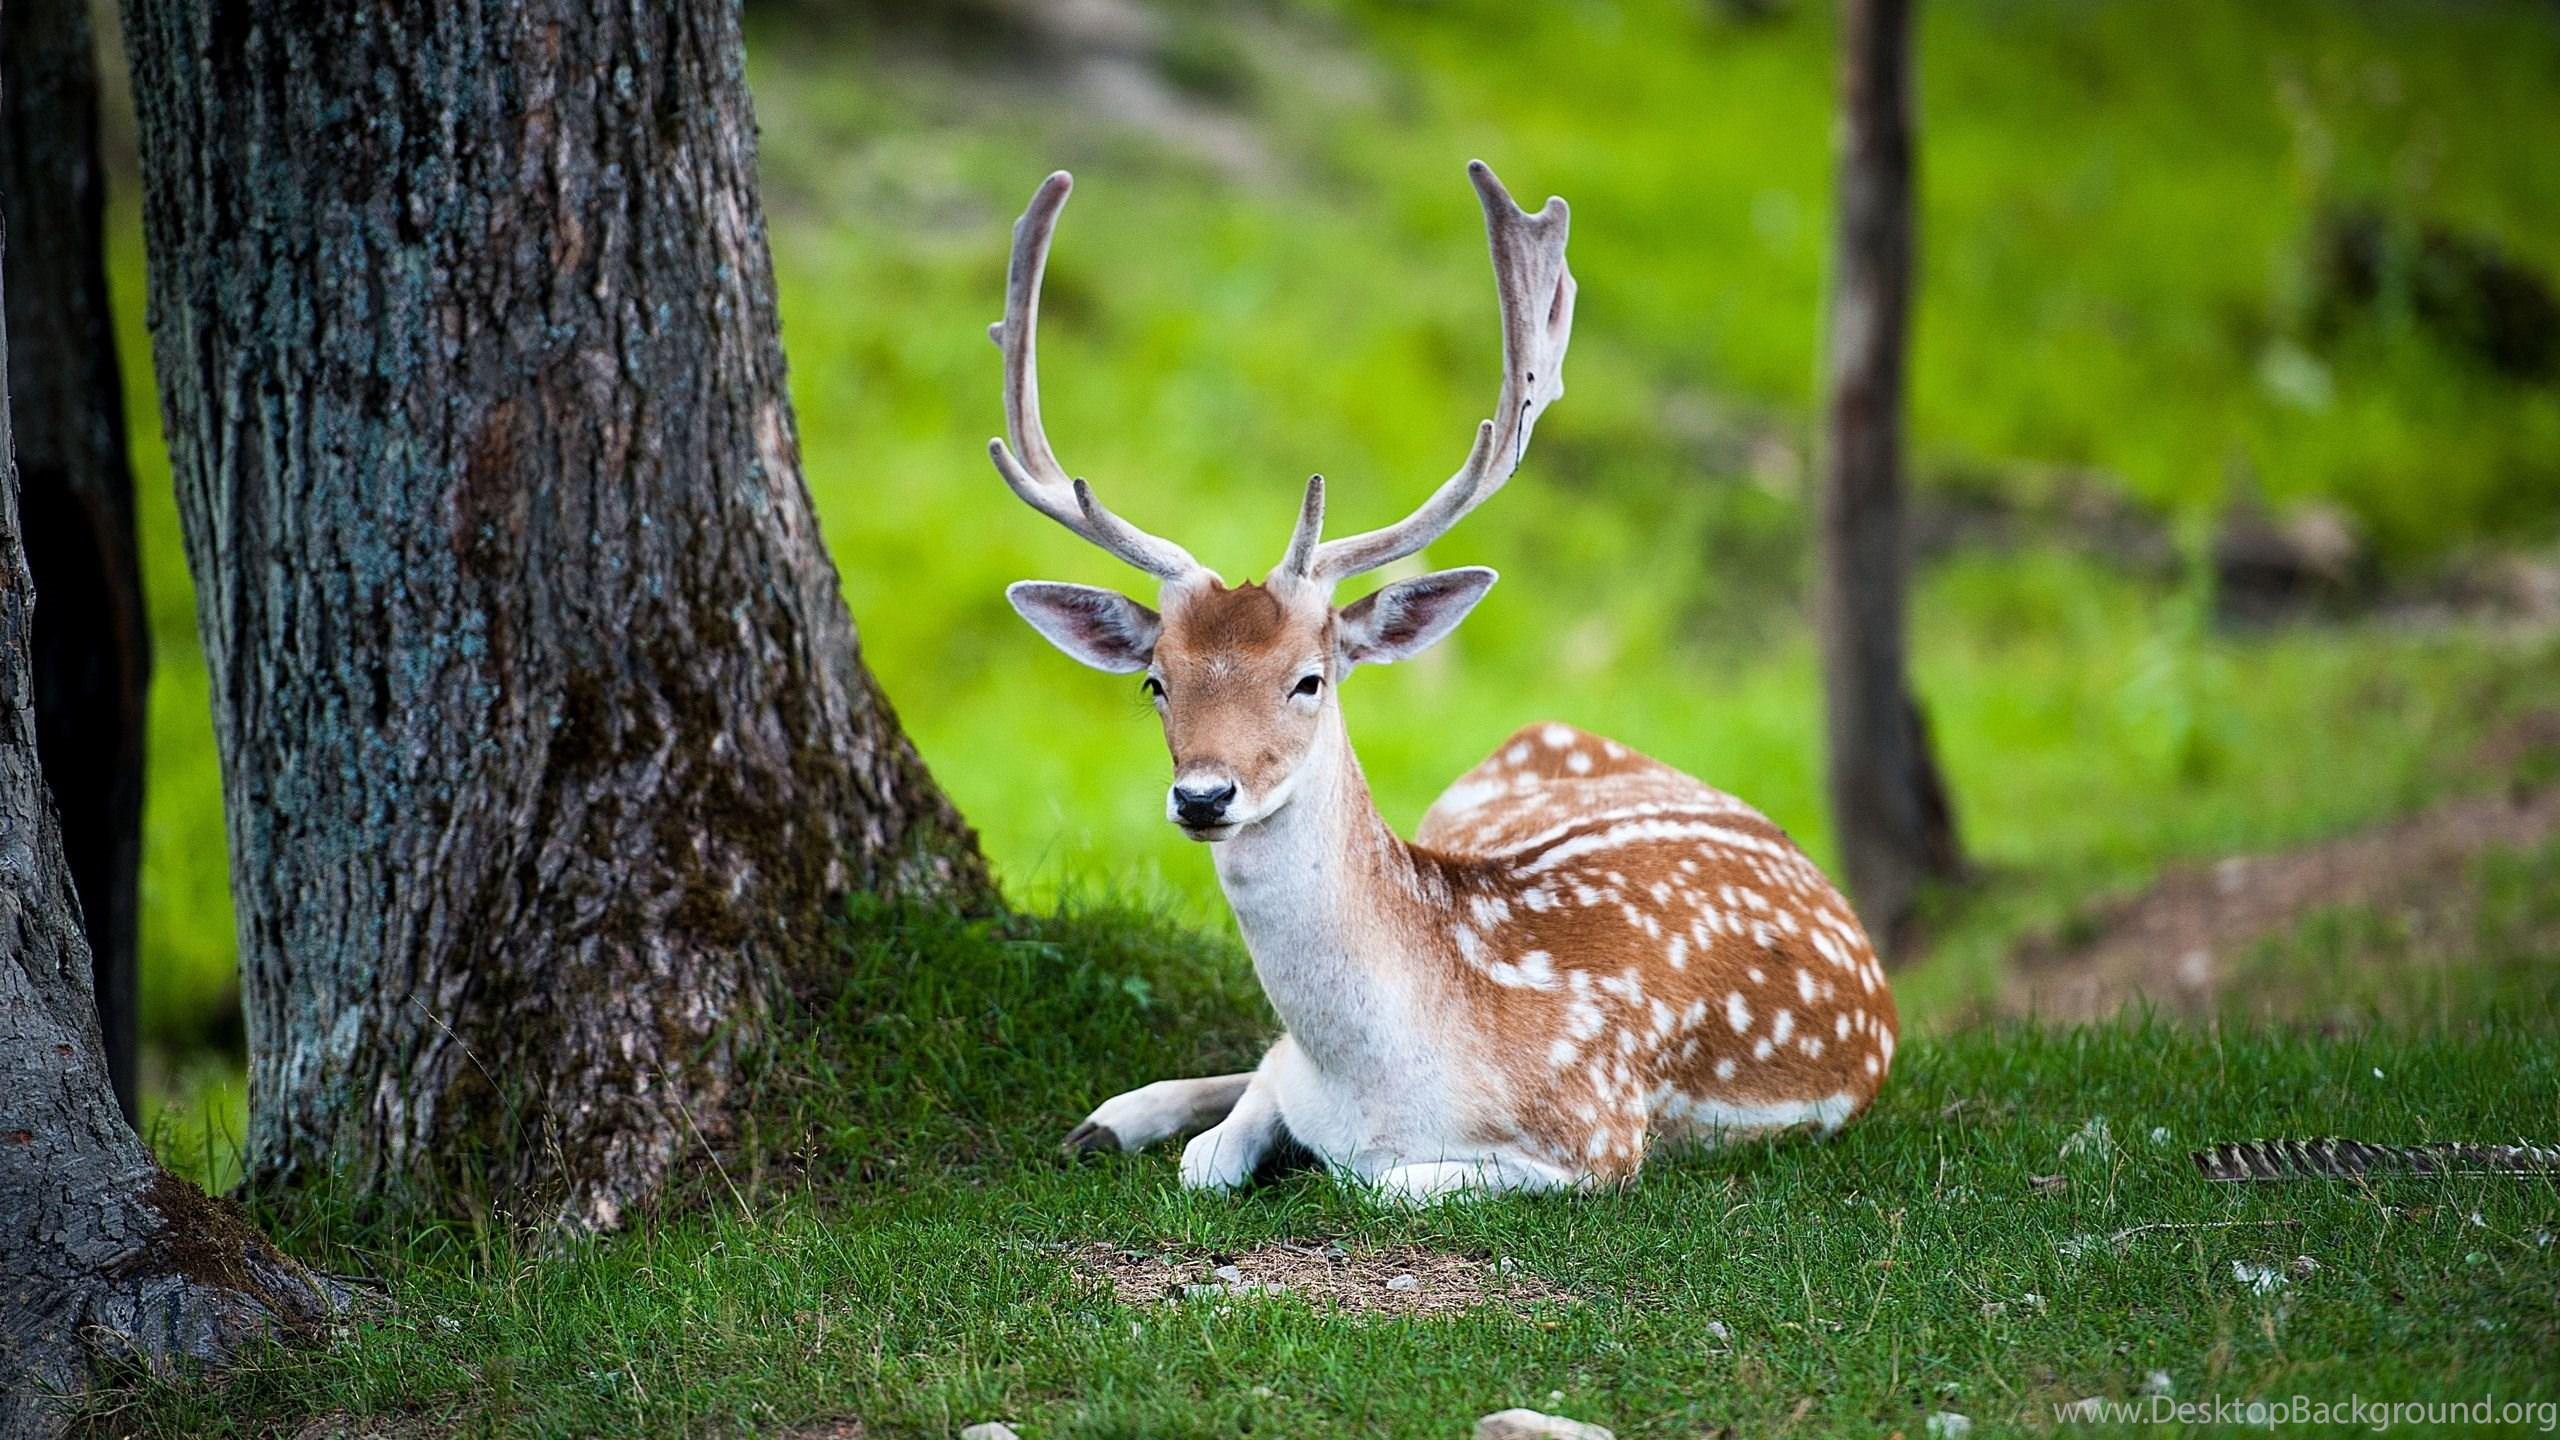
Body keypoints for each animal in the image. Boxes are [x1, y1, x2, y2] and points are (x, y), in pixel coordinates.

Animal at [989, 162, 1897, 1203]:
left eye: (1310, 680)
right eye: (1156, 682)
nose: (1204, 796)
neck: (1381, 1077)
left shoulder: (1599, 1138)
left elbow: (1372, 1180)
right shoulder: (1294, 1075)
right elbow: (1214, 1151)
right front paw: (1149, 1125)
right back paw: (1109, 1118)